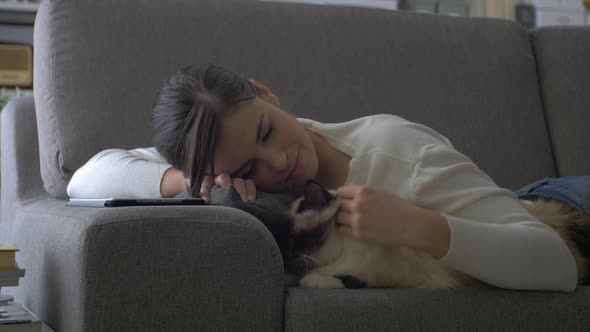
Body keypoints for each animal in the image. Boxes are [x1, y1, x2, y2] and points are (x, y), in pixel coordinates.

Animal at [280, 179, 590, 288]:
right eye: (286, 243)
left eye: (297, 240)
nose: (288, 258)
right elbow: (311, 278)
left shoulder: (376, 270)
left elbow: (315, 279)